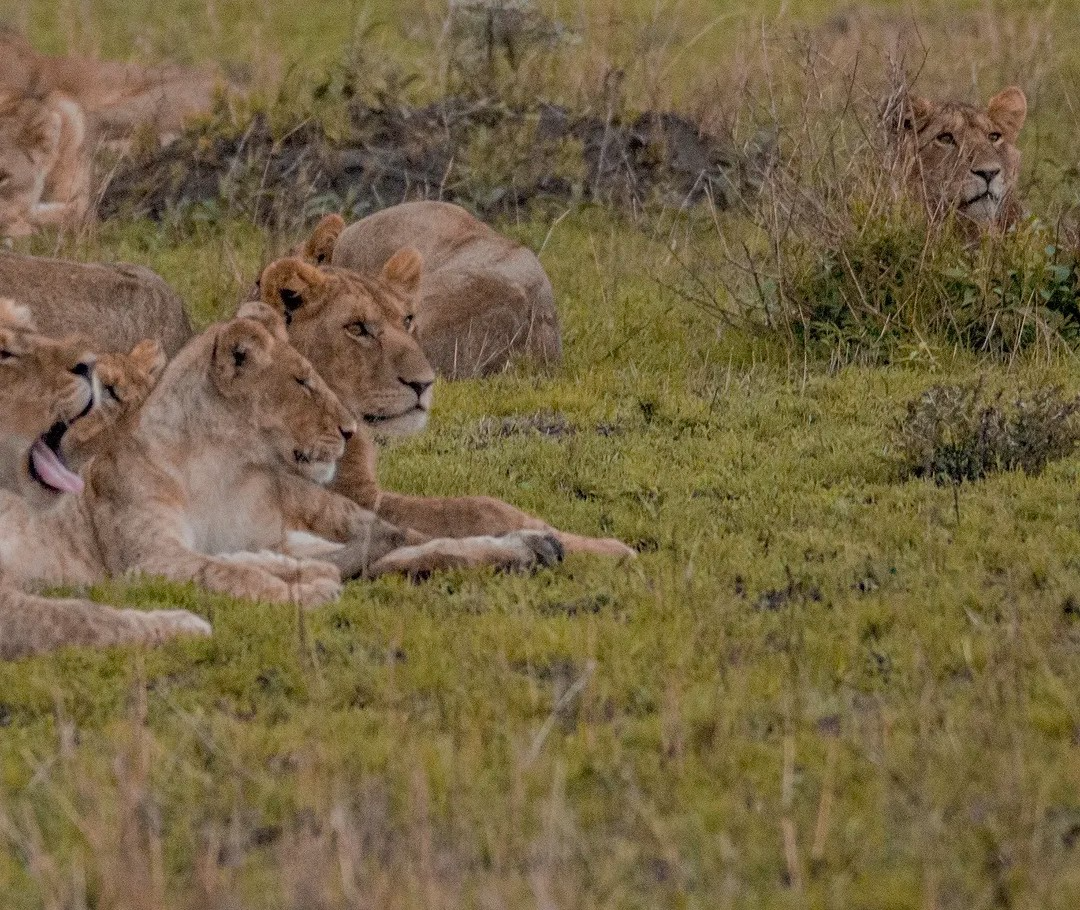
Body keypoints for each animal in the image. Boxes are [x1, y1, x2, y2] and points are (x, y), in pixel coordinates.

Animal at [257, 253, 634, 558]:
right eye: (356, 328)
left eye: (407, 320)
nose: (424, 383)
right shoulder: (341, 500)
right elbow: (477, 511)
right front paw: (608, 549)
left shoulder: (365, 495)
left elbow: (475, 507)